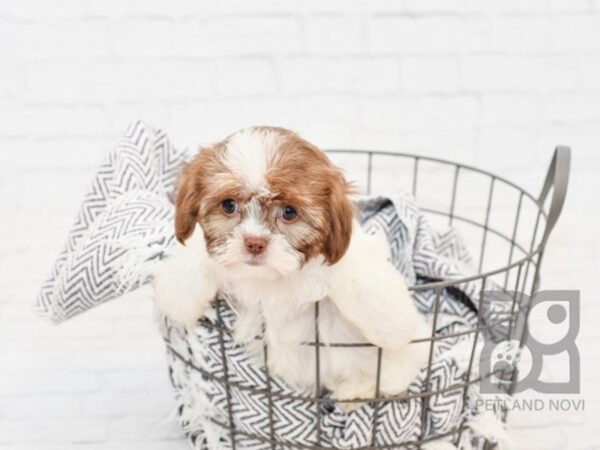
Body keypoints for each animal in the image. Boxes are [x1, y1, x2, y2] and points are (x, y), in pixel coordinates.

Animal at [152, 126, 428, 408]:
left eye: (289, 212)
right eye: (228, 205)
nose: (254, 243)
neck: (272, 278)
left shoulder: (345, 256)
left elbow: (359, 277)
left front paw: (396, 325)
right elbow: (199, 254)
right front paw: (175, 294)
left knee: (392, 374)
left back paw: (356, 391)